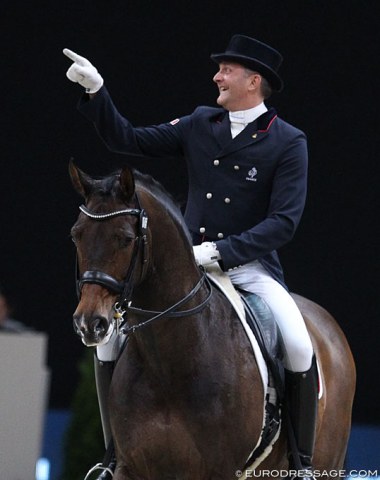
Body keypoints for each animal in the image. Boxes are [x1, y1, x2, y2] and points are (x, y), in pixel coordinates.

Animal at [70, 162, 356, 480]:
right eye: (76, 235)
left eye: (125, 239)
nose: (89, 323)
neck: (169, 363)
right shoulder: (131, 468)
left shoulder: (220, 470)